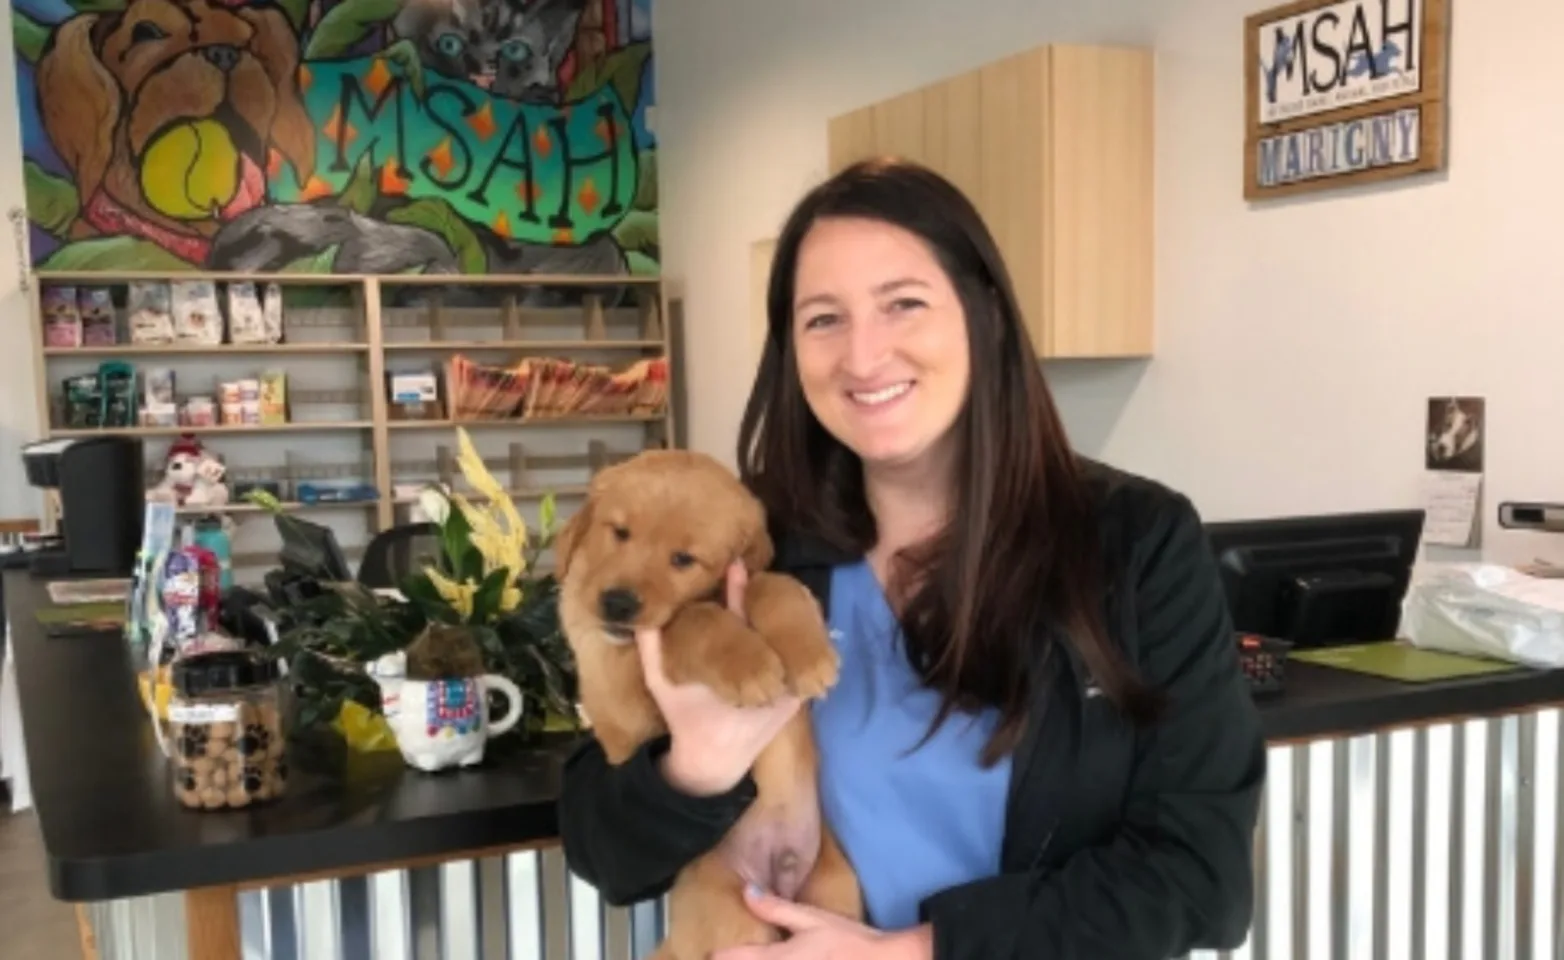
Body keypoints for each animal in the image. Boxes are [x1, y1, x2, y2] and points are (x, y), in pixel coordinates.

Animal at [553, 450, 869, 960]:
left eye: (684, 559)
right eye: (619, 532)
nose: (617, 603)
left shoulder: (748, 580)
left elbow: (770, 583)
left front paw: (809, 655)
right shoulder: (627, 682)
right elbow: (690, 620)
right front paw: (751, 666)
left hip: (834, 891)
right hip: (735, 915)